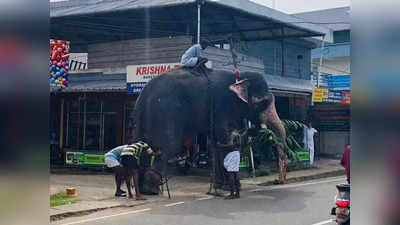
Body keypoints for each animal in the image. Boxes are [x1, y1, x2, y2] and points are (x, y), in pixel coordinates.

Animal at [134, 68, 288, 192]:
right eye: (263, 103)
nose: (278, 181)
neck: (238, 77)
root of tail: (144, 93)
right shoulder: (223, 107)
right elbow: (226, 141)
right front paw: (232, 188)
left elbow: (216, 144)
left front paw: (220, 187)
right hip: (165, 112)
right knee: (168, 145)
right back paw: (152, 190)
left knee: (142, 144)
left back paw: (144, 189)